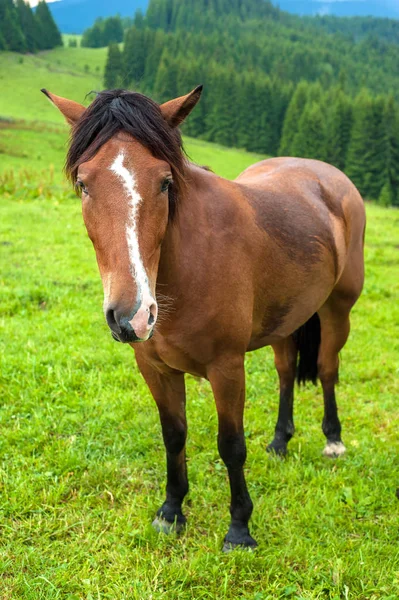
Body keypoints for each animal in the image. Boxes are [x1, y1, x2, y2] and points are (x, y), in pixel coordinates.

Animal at [43, 86, 366, 552]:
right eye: (84, 184)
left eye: (165, 182)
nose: (132, 316)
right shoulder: (154, 367)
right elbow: (173, 434)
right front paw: (171, 511)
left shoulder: (227, 367)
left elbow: (230, 444)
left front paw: (239, 528)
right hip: (285, 319)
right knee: (286, 371)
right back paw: (280, 441)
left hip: (338, 310)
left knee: (326, 368)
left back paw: (334, 440)